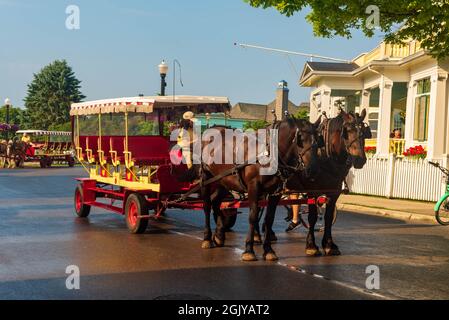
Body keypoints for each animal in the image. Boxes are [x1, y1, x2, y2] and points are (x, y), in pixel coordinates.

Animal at [180, 117, 320, 262]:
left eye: (318, 139)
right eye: (300, 138)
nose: (313, 170)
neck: (268, 153)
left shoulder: (274, 193)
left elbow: (269, 219)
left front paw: (268, 250)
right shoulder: (254, 187)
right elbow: (253, 217)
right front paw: (248, 250)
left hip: (222, 180)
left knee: (216, 202)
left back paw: (219, 235)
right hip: (206, 177)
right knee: (207, 205)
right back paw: (207, 238)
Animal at [288, 110, 372, 258]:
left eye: (364, 131)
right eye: (347, 131)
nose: (360, 160)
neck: (326, 157)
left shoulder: (334, 192)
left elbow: (328, 217)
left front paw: (329, 244)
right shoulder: (312, 191)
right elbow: (313, 217)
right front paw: (311, 245)